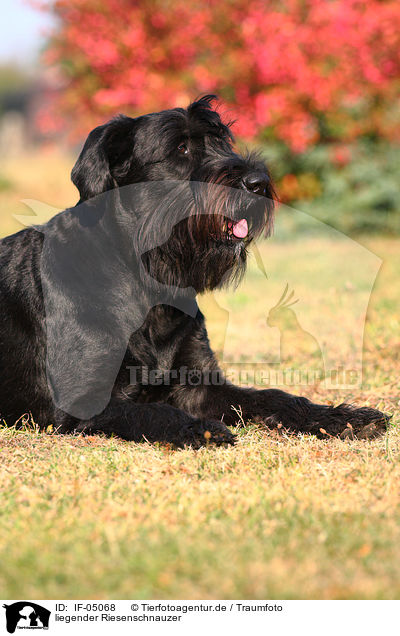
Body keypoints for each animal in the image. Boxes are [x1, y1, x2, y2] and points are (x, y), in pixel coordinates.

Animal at [0, 95, 390, 448]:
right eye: (181, 147)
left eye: (222, 141)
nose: (258, 182)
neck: (148, 282)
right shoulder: (85, 401)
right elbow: (155, 410)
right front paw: (199, 429)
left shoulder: (200, 386)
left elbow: (272, 395)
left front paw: (343, 416)